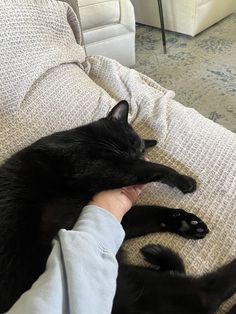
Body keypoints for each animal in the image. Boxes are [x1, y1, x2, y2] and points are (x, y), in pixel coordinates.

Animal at [0, 101, 209, 312]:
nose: (137, 155)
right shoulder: (96, 168)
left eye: (142, 151)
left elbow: (148, 214)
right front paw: (184, 180)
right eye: (131, 142)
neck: (89, 137)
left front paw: (186, 223)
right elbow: (153, 168)